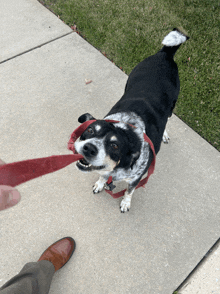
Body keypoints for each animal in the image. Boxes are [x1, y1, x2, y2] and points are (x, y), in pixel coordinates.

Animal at [75, 28, 188, 211]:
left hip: (172, 103)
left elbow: (129, 191)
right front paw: (100, 184)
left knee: (168, 118)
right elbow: (102, 175)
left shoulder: (136, 179)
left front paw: (125, 203)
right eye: (90, 130)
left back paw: (164, 134)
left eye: (115, 145)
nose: (89, 148)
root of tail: (165, 54)